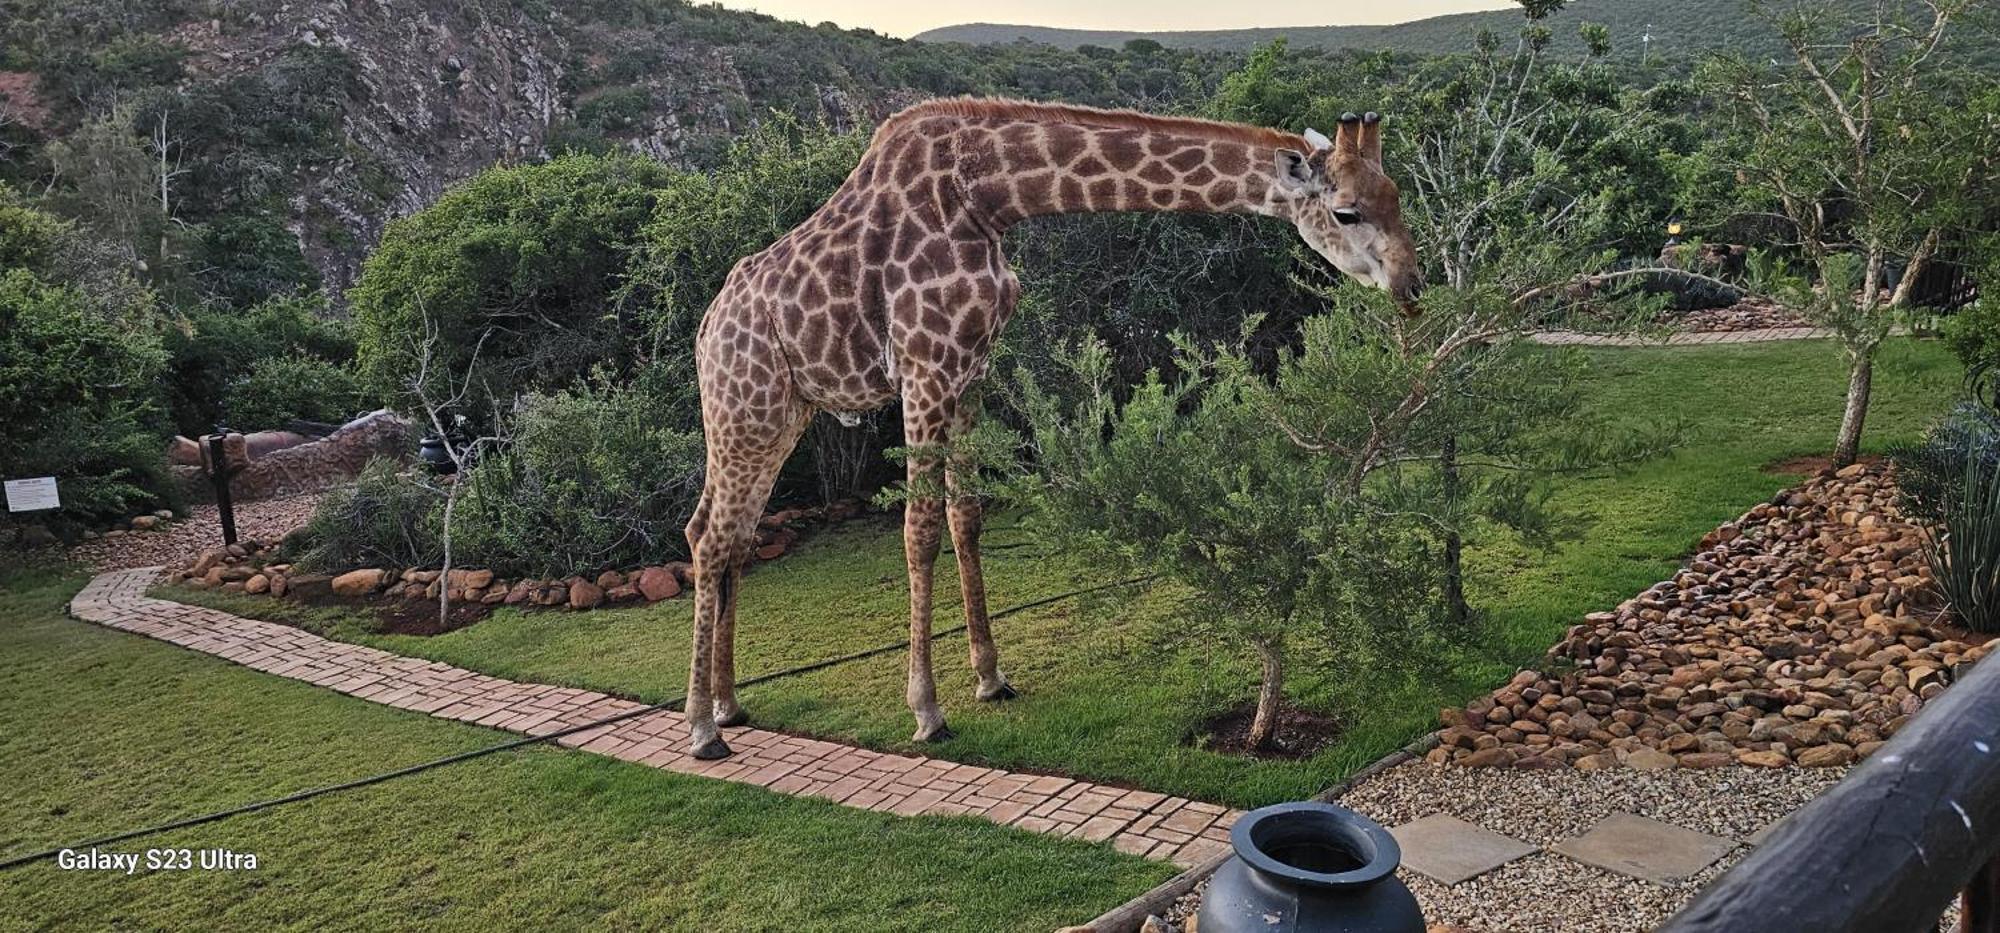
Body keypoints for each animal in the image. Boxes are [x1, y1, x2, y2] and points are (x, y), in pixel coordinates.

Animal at [684, 100, 1424, 756]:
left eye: (1398, 197)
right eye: (1346, 210)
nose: (1411, 286)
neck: (987, 198)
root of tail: (706, 327)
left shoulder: (970, 372)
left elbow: (965, 516)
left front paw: (991, 677)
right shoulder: (924, 366)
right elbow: (919, 530)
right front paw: (927, 709)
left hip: (781, 412)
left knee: (724, 532)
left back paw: (728, 703)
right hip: (745, 404)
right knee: (712, 536)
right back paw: (701, 729)